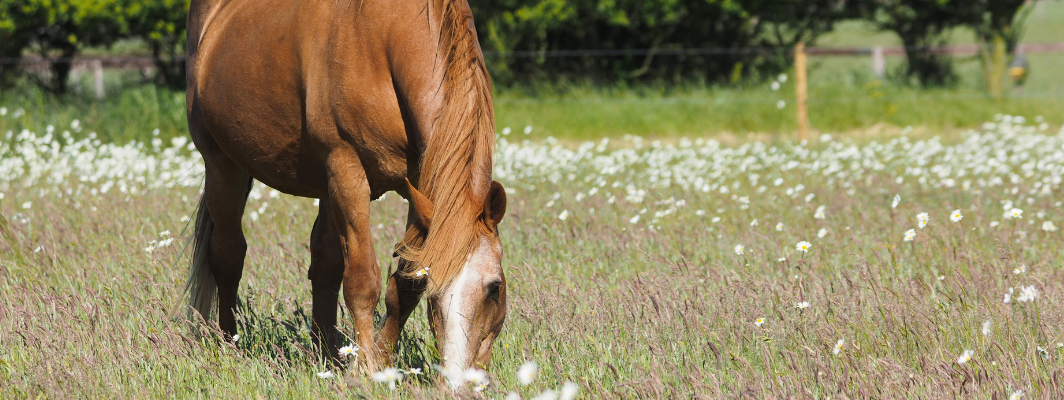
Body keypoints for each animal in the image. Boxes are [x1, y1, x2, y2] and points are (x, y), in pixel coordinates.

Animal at [184, 0, 510, 372]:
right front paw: (367, 368)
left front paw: (382, 360)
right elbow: (362, 280)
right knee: (228, 255)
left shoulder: (422, 187)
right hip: (224, 166)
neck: (388, 39)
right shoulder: (347, 169)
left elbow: (404, 282)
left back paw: (325, 353)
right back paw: (231, 345)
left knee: (324, 264)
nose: (459, 379)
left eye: (494, 288)